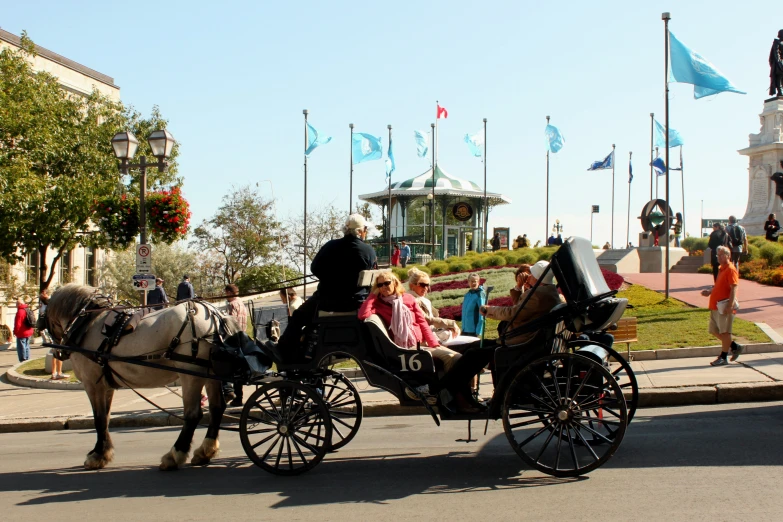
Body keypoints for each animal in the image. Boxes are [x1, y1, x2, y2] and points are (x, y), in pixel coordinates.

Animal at [44, 282, 236, 470]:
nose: (57, 353)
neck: (87, 322)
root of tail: (213, 314)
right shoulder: (106, 384)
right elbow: (106, 417)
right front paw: (104, 452)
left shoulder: (92, 383)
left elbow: (99, 419)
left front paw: (97, 455)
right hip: (211, 374)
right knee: (217, 408)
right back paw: (206, 450)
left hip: (191, 374)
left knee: (193, 414)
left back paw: (174, 455)